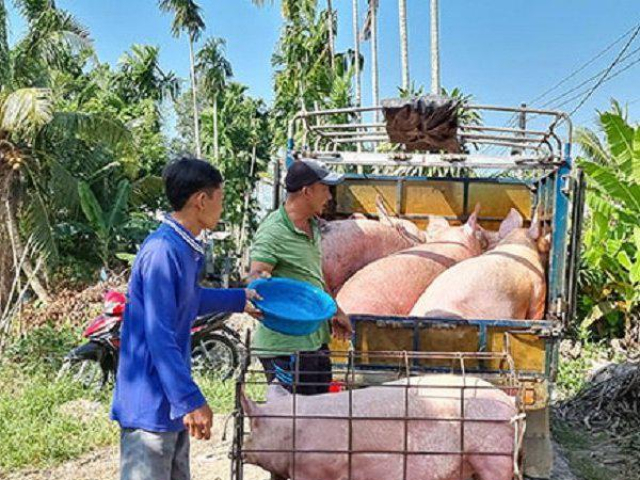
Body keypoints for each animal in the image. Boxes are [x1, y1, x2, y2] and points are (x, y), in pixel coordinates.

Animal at [229, 336, 524, 480]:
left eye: (253, 427)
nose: (237, 451)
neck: (289, 431)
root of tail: (510, 403)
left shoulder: (315, 469)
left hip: (493, 455)